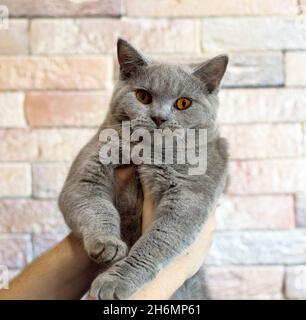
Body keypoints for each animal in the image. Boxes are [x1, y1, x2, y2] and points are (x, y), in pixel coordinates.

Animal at [58, 39, 228, 300]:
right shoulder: (85, 174)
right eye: (143, 96)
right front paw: (107, 243)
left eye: (183, 103)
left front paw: (113, 282)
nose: (159, 118)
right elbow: (96, 207)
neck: (149, 153)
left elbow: (155, 243)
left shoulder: (189, 197)